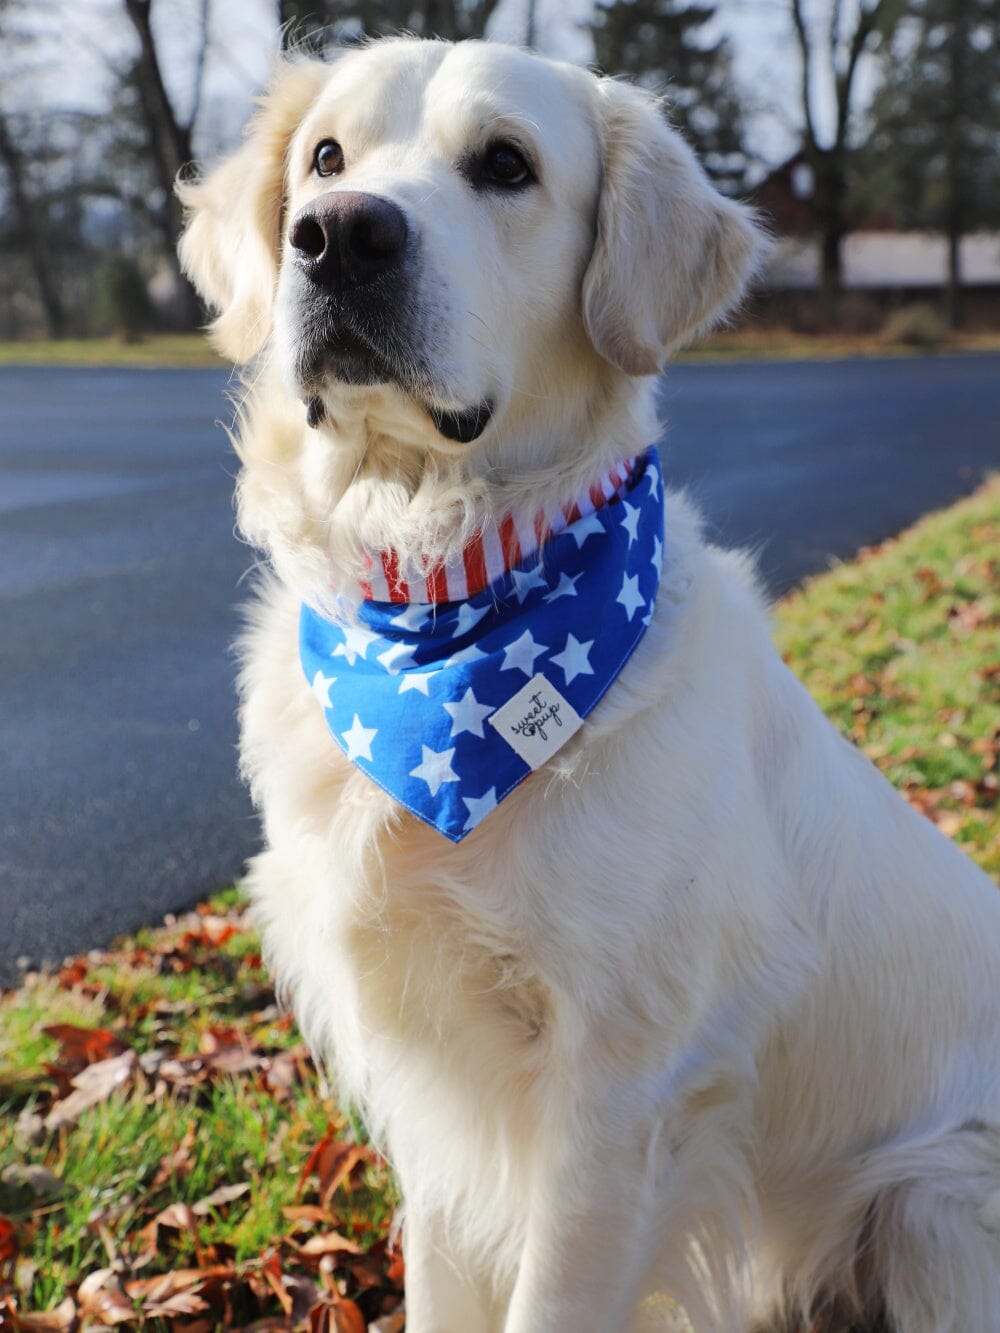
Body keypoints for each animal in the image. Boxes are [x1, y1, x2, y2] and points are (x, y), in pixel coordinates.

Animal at [178, 36, 1000, 1327]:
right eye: (326, 157)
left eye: (506, 164)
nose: (338, 236)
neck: (436, 591)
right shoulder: (441, 1089)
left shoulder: (621, 1089)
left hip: (935, 1196)